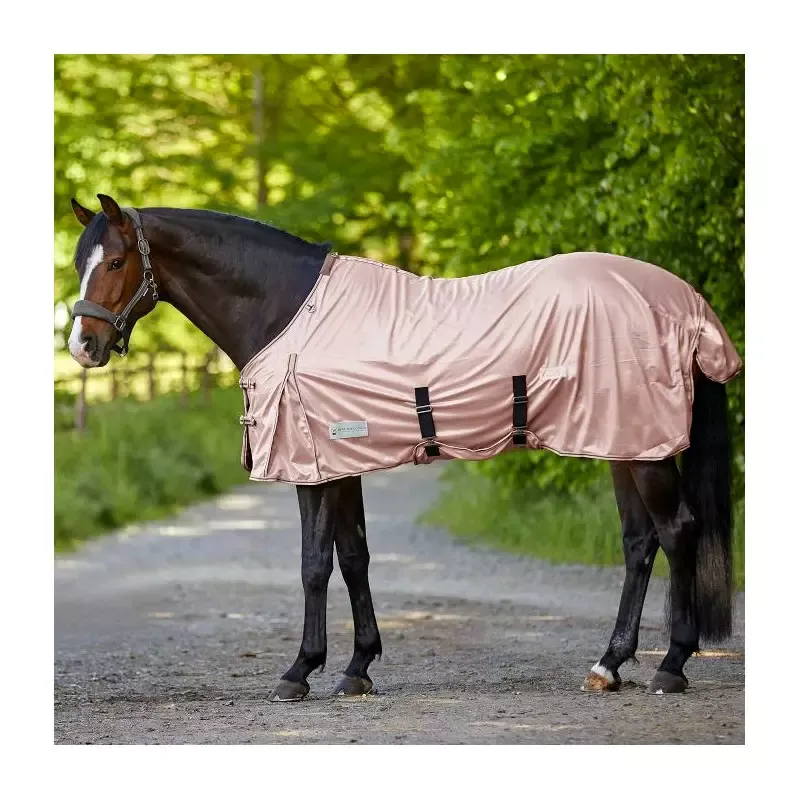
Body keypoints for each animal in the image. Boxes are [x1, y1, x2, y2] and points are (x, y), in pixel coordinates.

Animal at [65, 193, 741, 700]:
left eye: (117, 260)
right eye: (80, 261)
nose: (82, 346)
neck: (289, 312)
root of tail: (686, 304)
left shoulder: (314, 466)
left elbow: (315, 565)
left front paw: (299, 672)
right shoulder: (343, 463)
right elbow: (354, 557)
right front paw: (357, 669)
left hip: (644, 449)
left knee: (678, 531)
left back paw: (671, 666)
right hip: (623, 442)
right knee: (640, 541)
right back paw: (609, 665)